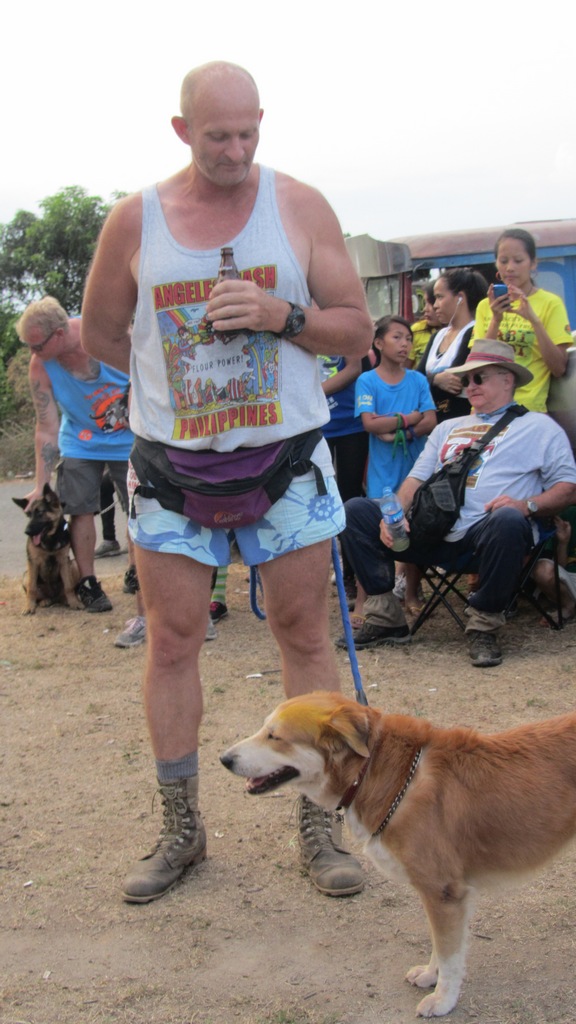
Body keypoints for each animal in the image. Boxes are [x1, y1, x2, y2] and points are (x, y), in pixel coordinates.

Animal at [12, 483, 82, 614]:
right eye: (28, 515)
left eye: (40, 513)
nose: (27, 532)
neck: (50, 539)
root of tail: (53, 597)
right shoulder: (33, 562)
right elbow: (32, 588)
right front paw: (29, 607)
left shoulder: (63, 561)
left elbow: (69, 586)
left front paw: (74, 602)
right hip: (26, 575)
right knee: (37, 593)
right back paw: (43, 601)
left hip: (74, 565)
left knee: (65, 591)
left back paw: (65, 599)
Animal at [221, 691, 576, 1017]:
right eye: (264, 729)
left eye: (275, 736)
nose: (224, 759)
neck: (382, 773)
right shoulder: (441, 896)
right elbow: (439, 945)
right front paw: (431, 976)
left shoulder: (444, 893)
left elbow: (449, 953)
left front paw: (443, 1000)